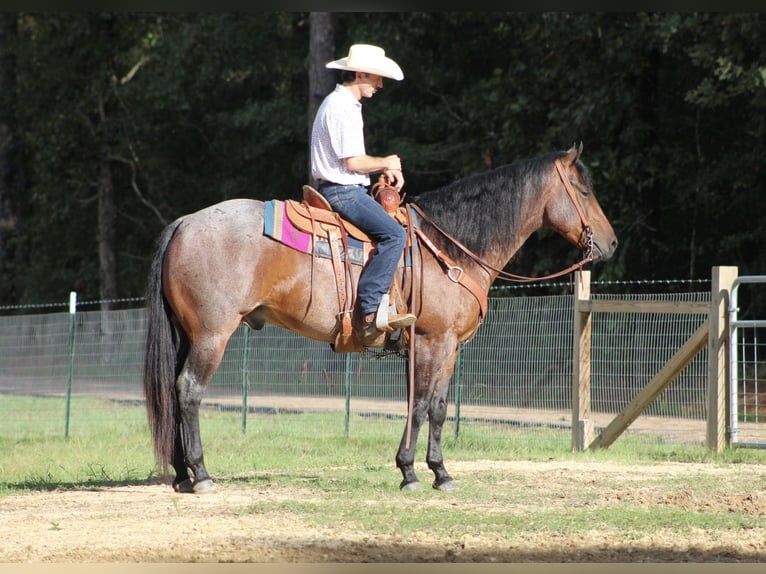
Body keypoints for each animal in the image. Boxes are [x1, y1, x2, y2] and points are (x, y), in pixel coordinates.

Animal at [144, 144, 620, 496]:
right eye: (582, 190)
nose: (612, 242)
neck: (452, 246)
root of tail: (184, 222)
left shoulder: (449, 346)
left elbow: (439, 407)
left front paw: (440, 473)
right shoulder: (431, 340)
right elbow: (420, 404)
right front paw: (409, 472)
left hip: (188, 335)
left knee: (173, 389)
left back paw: (182, 475)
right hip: (212, 335)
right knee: (189, 390)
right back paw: (203, 476)